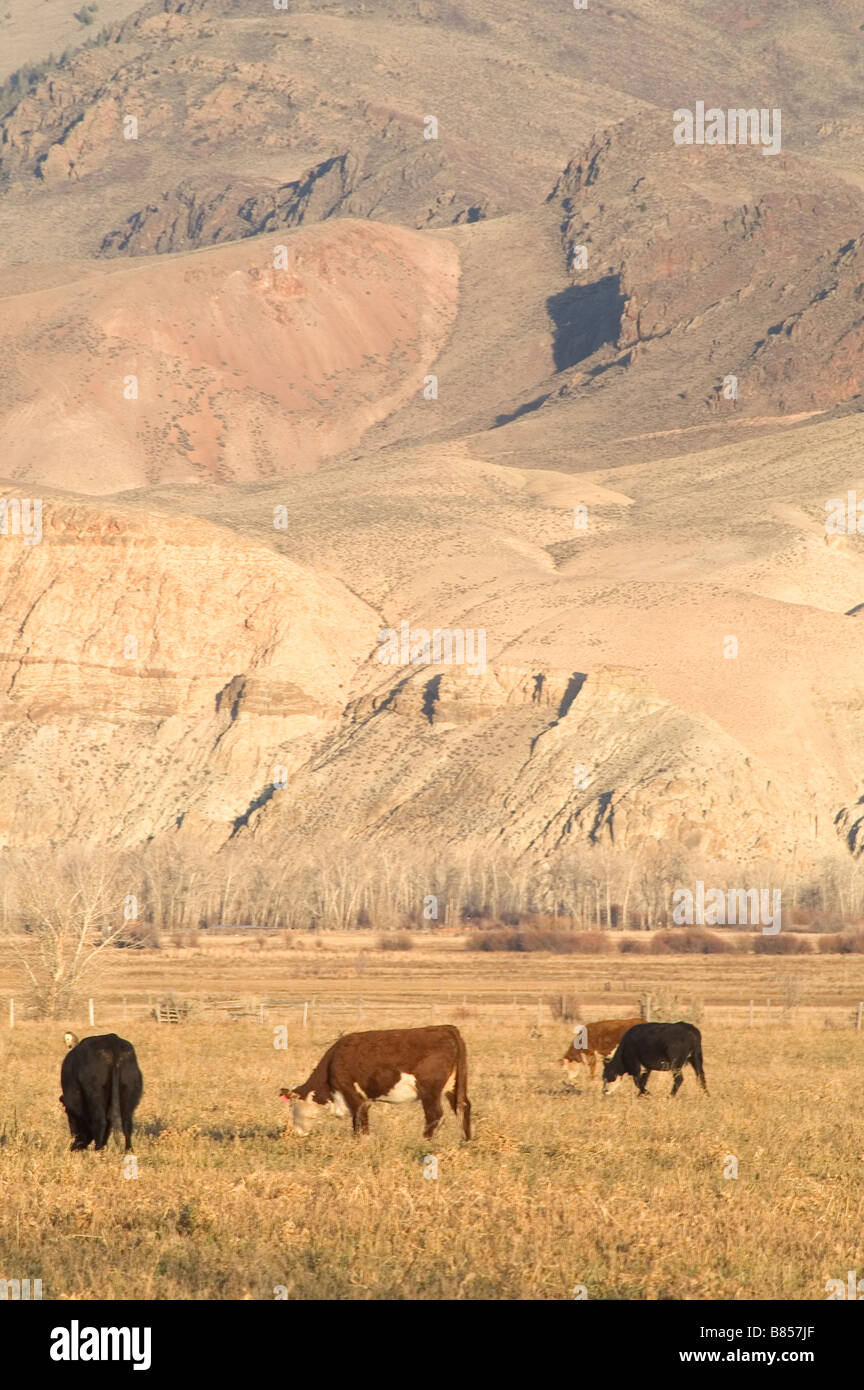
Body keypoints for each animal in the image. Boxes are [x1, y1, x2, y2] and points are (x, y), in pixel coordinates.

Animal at [280, 1025, 471, 1139]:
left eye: (293, 1107)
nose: (296, 1132)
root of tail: (446, 1028)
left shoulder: (352, 1094)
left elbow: (360, 1123)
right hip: (453, 1086)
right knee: (463, 1107)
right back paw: (466, 1140)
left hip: (429, 1090)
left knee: (434, 1114)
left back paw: (425, 1140)